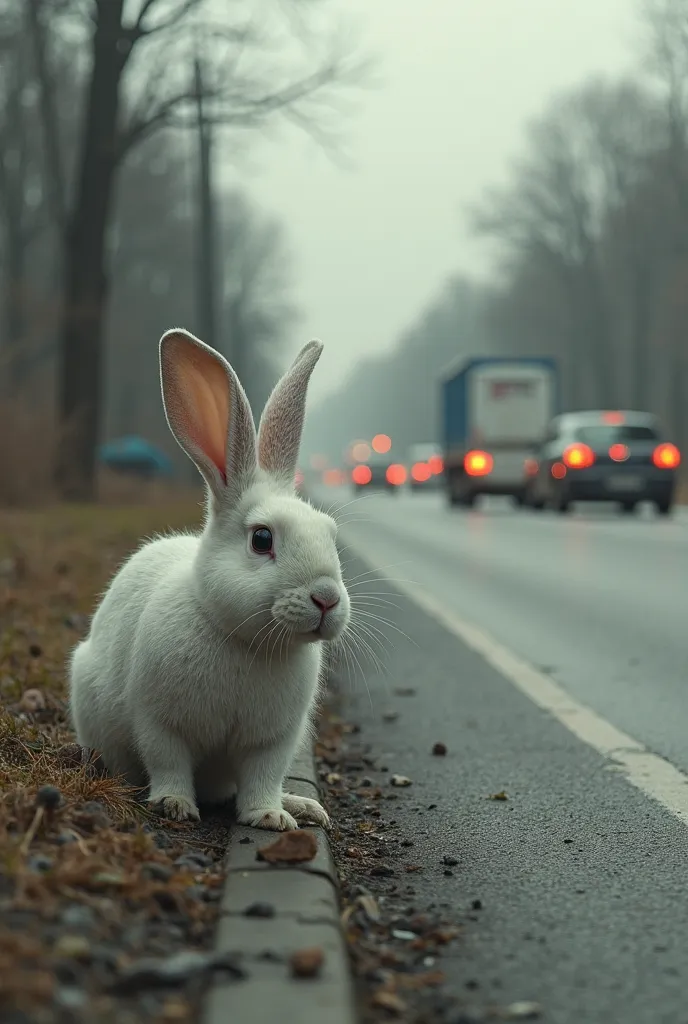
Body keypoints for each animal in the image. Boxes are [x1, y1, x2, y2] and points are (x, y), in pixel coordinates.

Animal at [69, 329, 350, 831]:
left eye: (330, 533)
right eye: (262, 539)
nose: (326, 599)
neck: (243, 640)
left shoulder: (272, 742)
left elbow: (261, 779)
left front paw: (270, 816)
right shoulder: (160, 722)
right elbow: (169, 763)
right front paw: (175, 805)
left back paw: (302, 805)